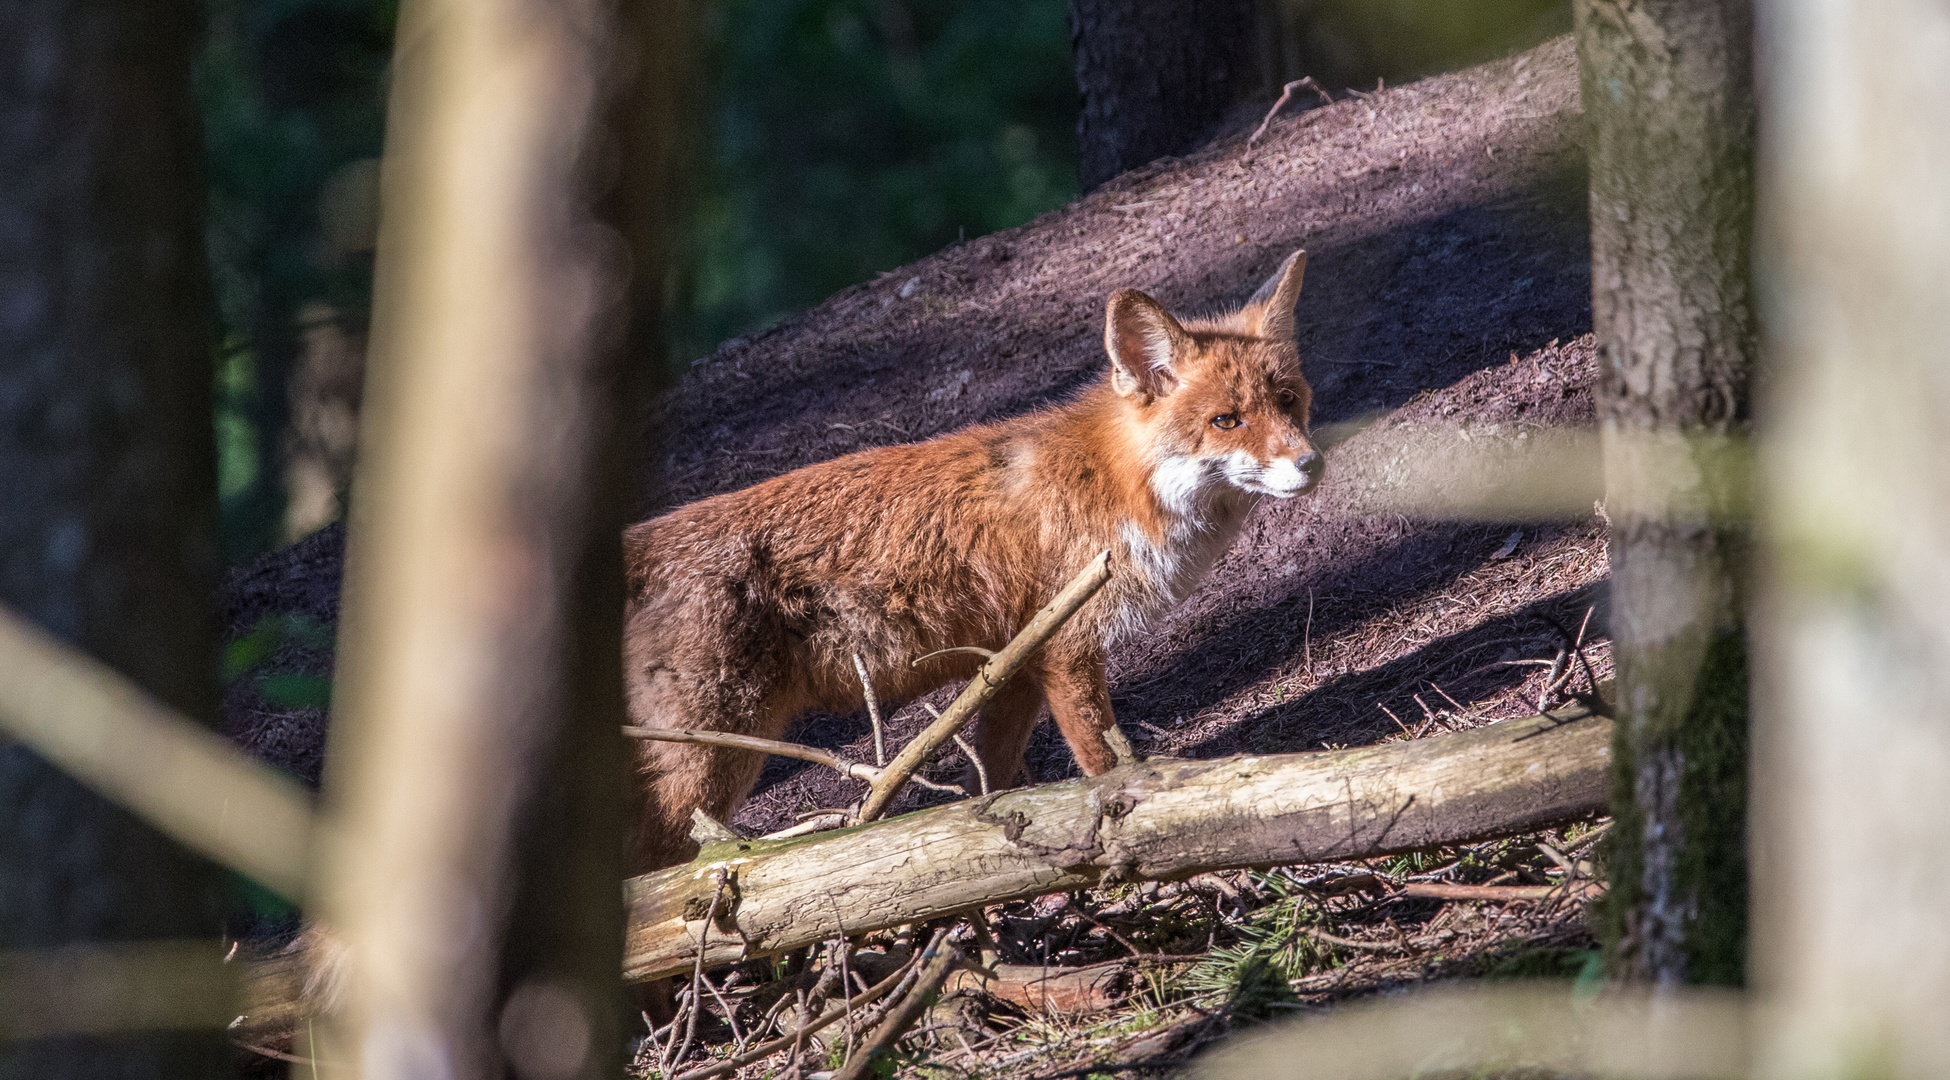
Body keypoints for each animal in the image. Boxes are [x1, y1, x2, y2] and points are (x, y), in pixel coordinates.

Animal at [620, 247, 1326, 869]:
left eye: (1288, 400)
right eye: (1227, 420)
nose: (1310, 463)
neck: (1116, 484)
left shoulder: (1013, 663)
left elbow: (992, 780)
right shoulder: (1067, 648)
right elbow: (1103, 769)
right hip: (711, 760)